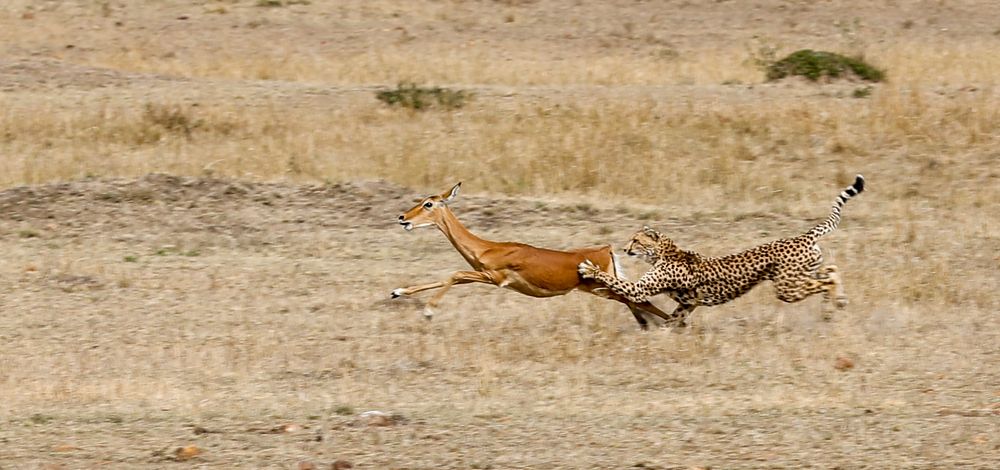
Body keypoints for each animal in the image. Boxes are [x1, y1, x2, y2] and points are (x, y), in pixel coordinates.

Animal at [391, 182, 675, 329]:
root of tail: (606, 250)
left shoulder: (494, 277)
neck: (487, 248)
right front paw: (397, 292)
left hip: (603, 289)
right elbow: (449, 276)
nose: (402, 217)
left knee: (644, 301)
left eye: (428, 203)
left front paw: (428, 311)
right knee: (637, 302)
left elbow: (454, 274)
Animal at [579, 175, 865, 327]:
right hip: (800, 275)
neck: (664, 252)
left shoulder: (641, 289)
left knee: (826, 279)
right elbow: (674, 319)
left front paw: (589, 268)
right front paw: (667, 332)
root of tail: (802, 237)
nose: (625, 248)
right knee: (831, 269)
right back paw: (837, 302)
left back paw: (833, 304)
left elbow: (615, 280)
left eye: (636, 240)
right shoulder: (688, 302)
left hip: (787, 287)